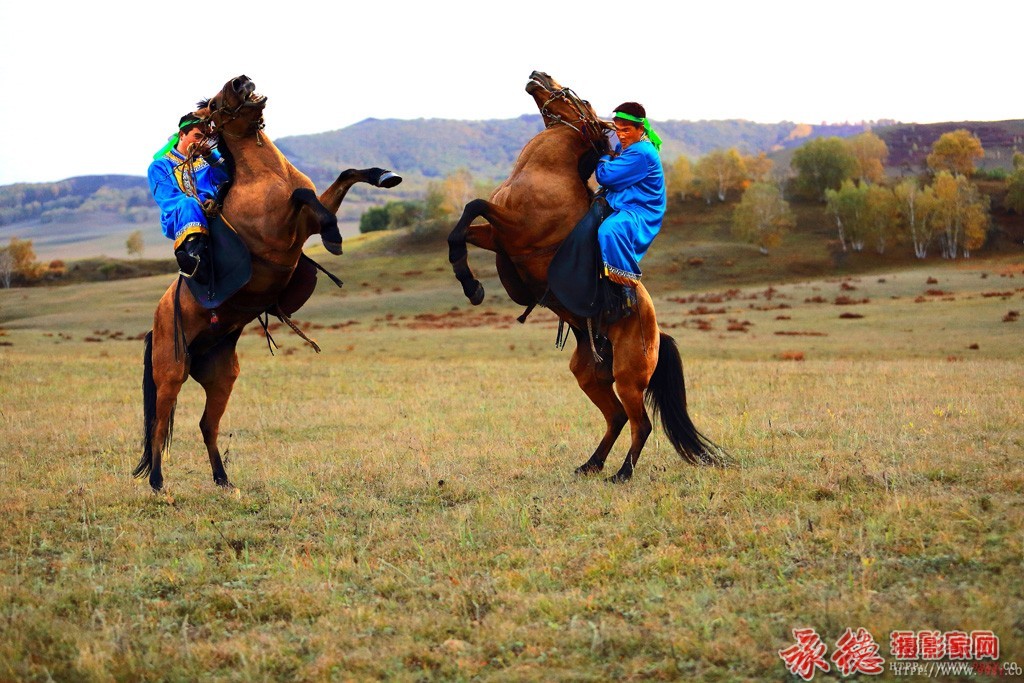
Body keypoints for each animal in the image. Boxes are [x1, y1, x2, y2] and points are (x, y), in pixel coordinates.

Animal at [132, 76, 395, 491]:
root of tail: (155, 324)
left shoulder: (306, 222)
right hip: (170, 372)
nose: (241, 81)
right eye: (214, 104)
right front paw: (336, 236)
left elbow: (343, 176)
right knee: (159, 425)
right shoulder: (278, 228)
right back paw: (158, 484)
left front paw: (384, 177)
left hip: (221, 376)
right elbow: (303, 195)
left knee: (207, 425)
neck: (268, 176)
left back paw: (224, 481)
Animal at [448, 72, 729, 483]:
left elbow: (474, 205)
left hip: (629, 378)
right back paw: (591, 464)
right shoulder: (499, 238)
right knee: (616, 418)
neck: (544, 172)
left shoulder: (516, 229)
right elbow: (461, 230)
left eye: (581, 100)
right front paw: (470, 283)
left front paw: (472, 285)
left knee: (640, 423)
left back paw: (622, 474)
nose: (539, 75)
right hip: (590, 375)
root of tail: (657, 333)